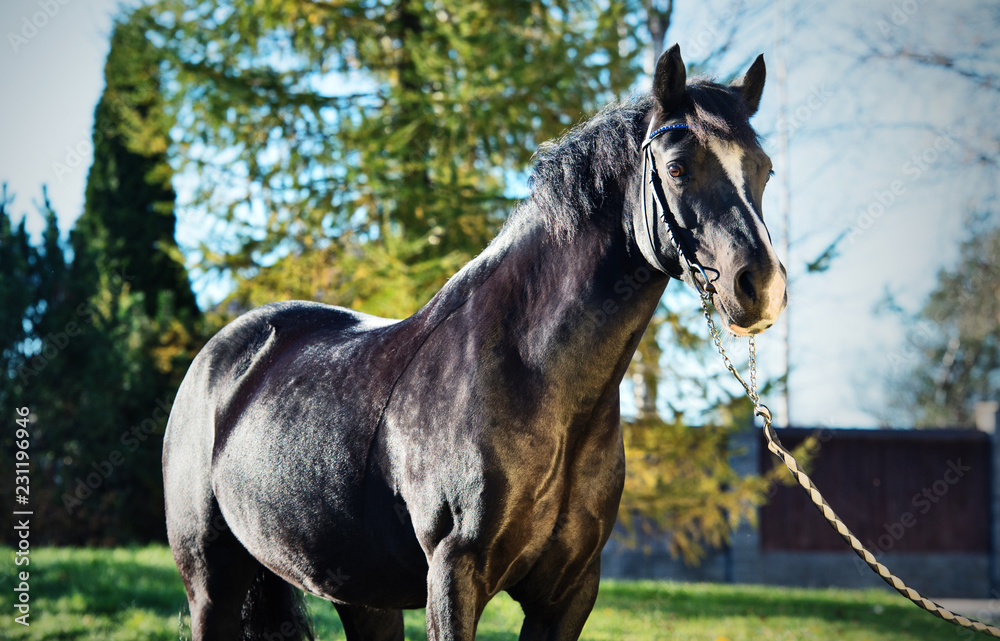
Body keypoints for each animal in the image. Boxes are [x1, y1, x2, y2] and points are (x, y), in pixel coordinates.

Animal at [163, 44, 786, 641]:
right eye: (677, 167)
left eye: (765, 170)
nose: (762, 288)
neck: (535, 380)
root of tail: (223, 353)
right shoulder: (453, 577)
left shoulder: (568, 595)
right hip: (211, 586)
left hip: (360, 596)